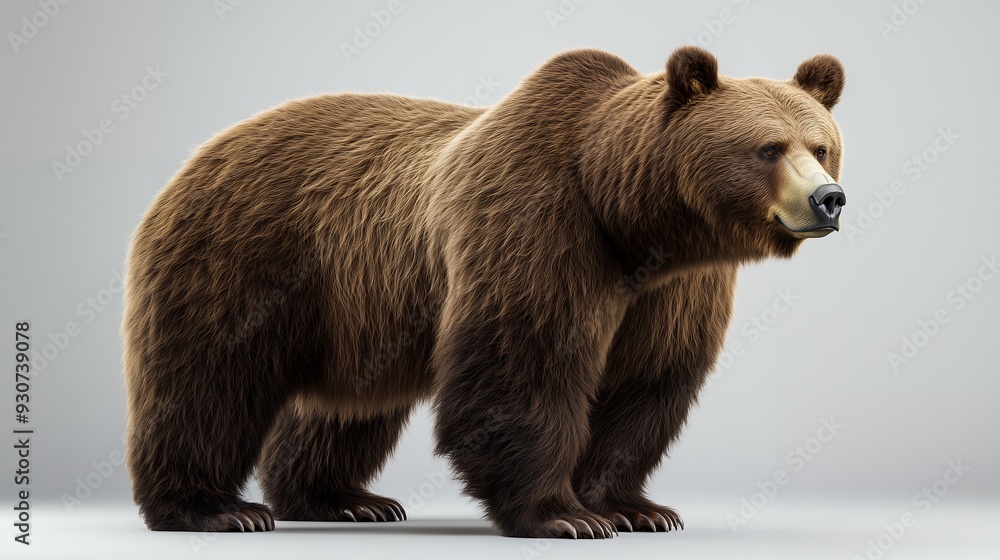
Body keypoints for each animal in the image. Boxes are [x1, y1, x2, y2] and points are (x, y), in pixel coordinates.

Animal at [122, 45, 846, 539]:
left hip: (354, 309)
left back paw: (344, 499)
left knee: (343, 406)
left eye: (821, 145)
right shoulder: (538, 225)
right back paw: (215, 508)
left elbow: (643, 384)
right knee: (209, 381)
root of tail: (199, 154)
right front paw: (564, 516)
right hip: (245, 256)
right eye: (769, 147)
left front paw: (634, 508)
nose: (828, 199)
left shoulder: (672, 291)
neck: (633, 221)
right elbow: (522, 364)